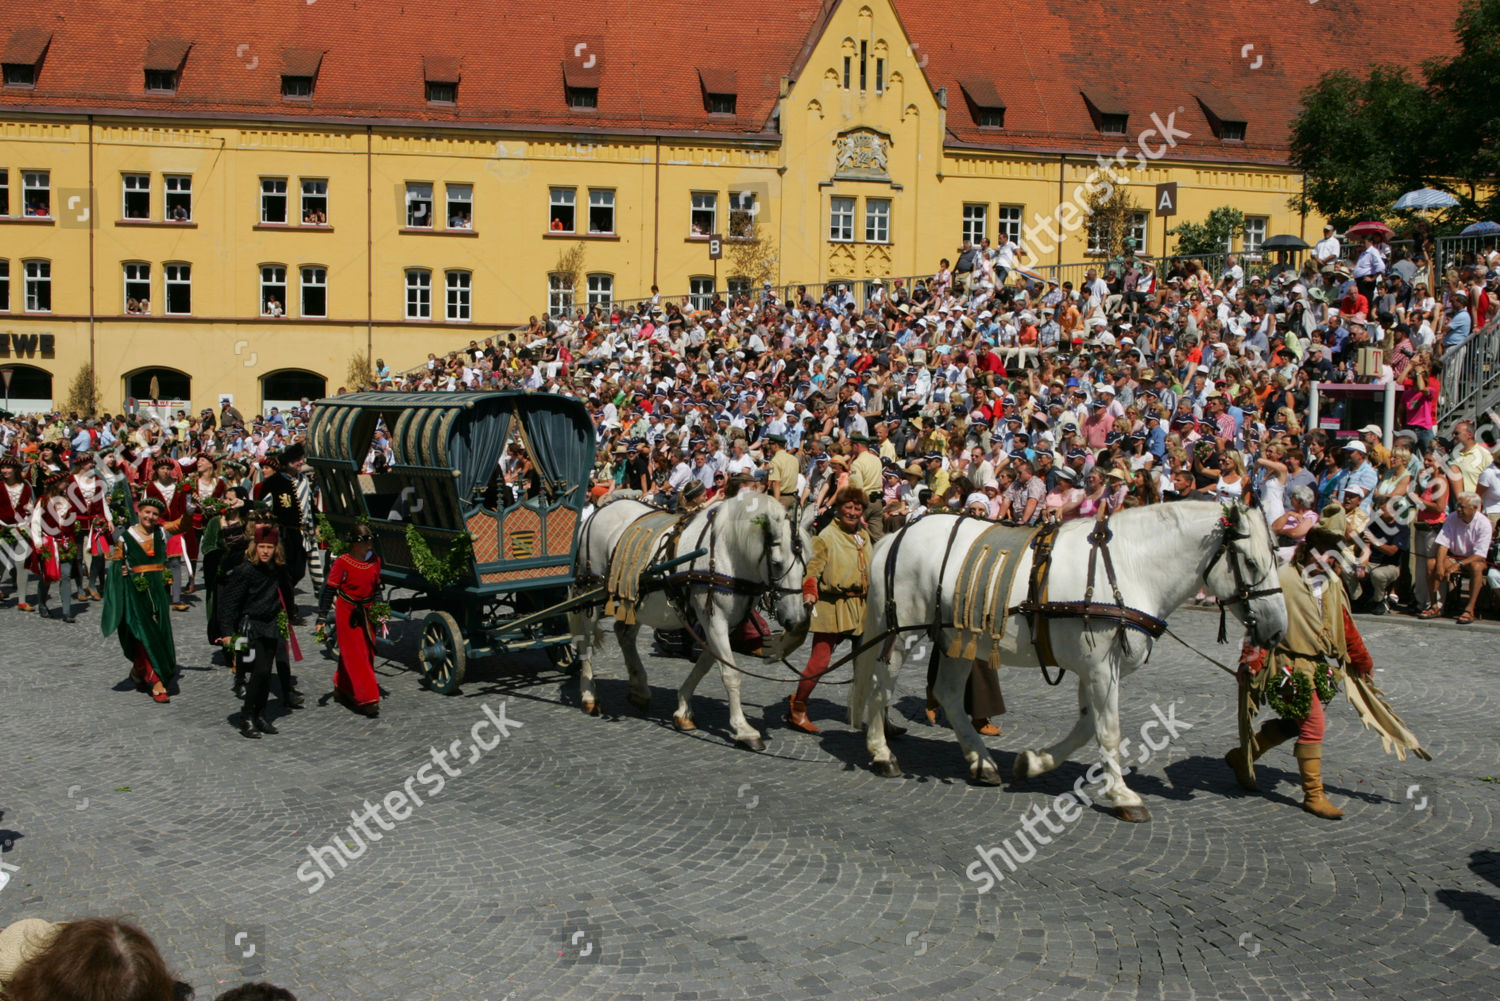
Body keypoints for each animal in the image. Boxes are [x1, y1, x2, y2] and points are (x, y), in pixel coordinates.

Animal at [570, 492, 810, 750]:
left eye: (806, 563)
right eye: (776, 563)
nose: (796, 620)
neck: (728, 554)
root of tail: (599, 510)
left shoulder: (724, 625)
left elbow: (705, 664)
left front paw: (683, 708)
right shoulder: (715, 620)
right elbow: (730, 674)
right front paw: (743, 729)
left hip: (634, 600)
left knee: (624, 634)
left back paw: (639, 688)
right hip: (591, 595)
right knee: (585, 641)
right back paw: (589, 695)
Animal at [852, 501, 1284, 822]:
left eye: (1276, 557)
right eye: (1249, 562)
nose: (1278, 629)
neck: (1129, 566)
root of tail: (896, 535)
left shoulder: (1094, 669)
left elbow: (1087, 726)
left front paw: (1034, 763)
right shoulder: (1099, 667)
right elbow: (1108, 730)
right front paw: (1123, 796)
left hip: (961, 639)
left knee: (949, 694)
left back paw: (981, 761)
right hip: (901, 633)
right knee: (881, 685)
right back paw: (882, 752)